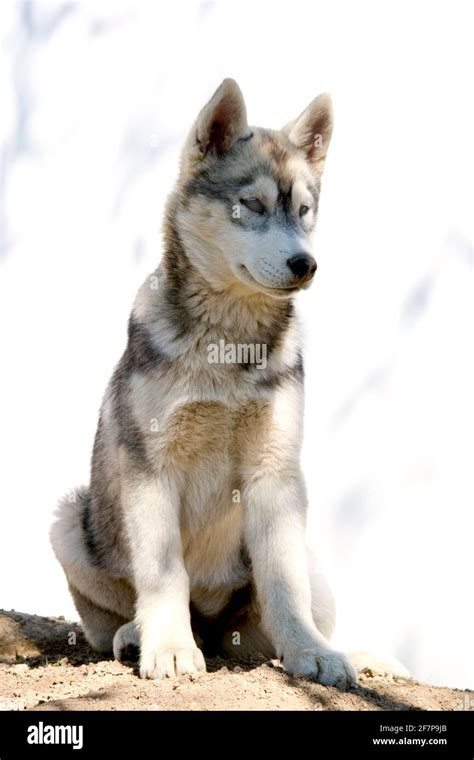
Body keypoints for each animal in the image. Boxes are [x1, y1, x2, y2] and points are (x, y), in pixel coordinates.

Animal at [51, 77, 356, 688]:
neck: (228, 346)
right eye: (253, 205)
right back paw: (135, 632)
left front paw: (308, 651)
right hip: (70, 520)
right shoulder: (151, 466)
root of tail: (216, 628)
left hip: (311, 570)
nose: (306, 264)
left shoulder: (276, 470)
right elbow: (163, 573)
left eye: (305, 211)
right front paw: (168, 647)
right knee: (115, 612)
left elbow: (284, 583)